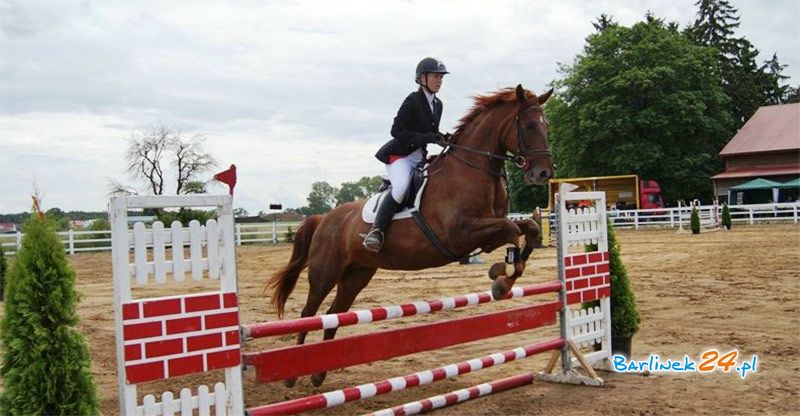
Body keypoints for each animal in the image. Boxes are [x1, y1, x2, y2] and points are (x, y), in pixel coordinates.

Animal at [266, 84, 552, 386]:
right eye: (529, 125)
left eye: (545, 125)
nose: (544, 173)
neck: (473, 170)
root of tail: (324, 218)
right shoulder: (461, 233)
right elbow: (512, 230)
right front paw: (501, 277)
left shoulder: (486, 233)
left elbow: (528, 229)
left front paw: (504, 274)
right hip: (325, 271)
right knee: (309, 313)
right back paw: (292, 374)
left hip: (357, 274)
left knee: (334, 314)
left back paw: (319, 373)